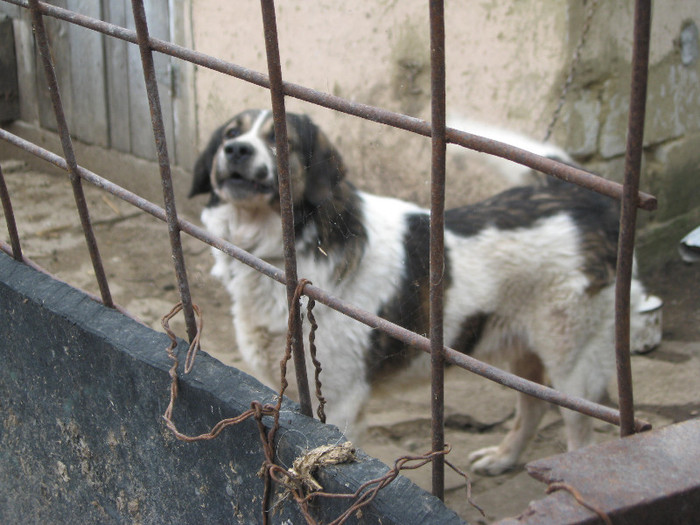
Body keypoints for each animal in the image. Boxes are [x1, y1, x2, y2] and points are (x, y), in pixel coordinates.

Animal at [189, 110, 660, 474]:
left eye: (277, 139)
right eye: (231, 134)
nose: (236, 151)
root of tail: (577, 196)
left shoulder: (341, 400)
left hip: (572, 360)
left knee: (578, 426)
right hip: (525, 352)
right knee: (533, 407)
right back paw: (504, 458)